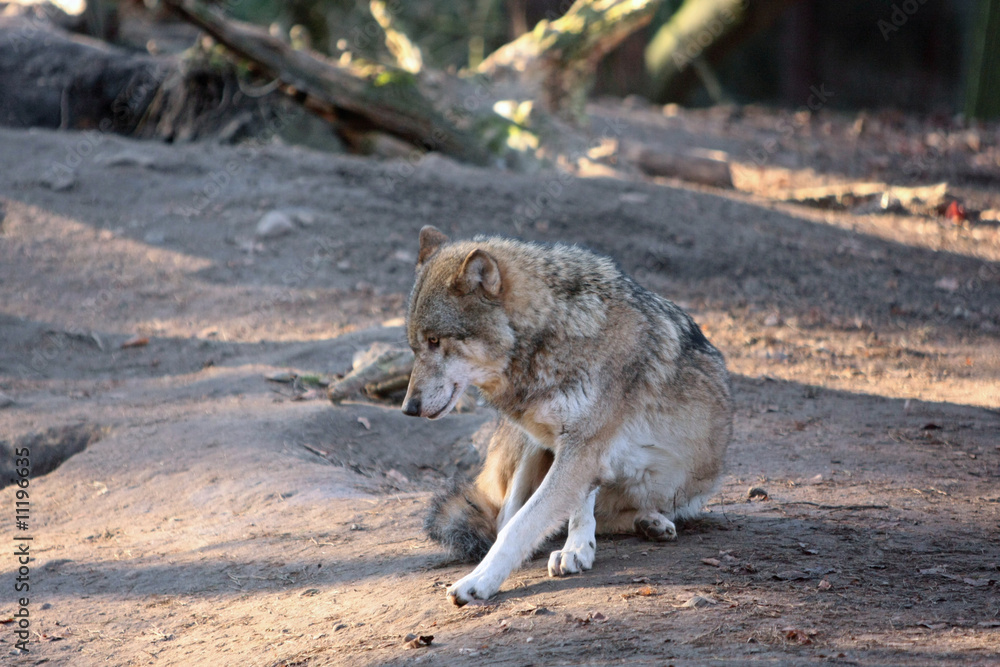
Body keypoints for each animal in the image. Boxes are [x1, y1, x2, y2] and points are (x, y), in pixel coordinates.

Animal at [402, 225, 732, 606]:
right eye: (415, 346)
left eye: (435, 340)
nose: (408, 408)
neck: (552, 334)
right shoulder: (574, 449)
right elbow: (527, 521)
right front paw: (567, 552)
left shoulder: (583, 449)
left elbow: (524, 525)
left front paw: (477, 582)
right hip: (531, 441)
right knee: (504, 518)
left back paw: (645, 524)